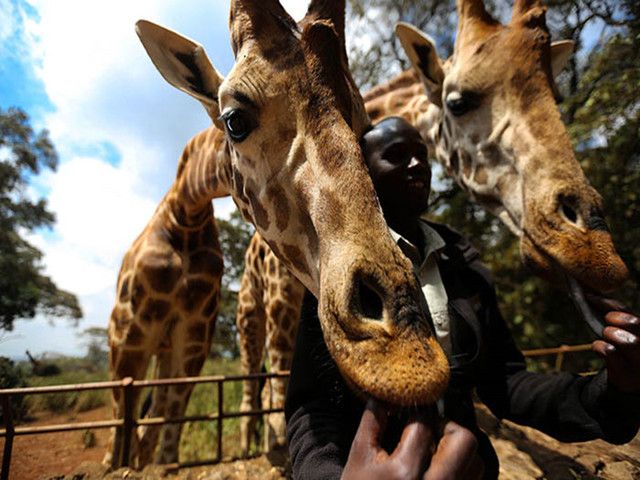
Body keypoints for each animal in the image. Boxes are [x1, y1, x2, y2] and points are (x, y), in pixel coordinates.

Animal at [105, 0, 450, 466]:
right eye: (234, 120)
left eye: (363, 126)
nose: (407, 359)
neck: (185, 213)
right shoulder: (137, 334)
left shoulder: (196, 335)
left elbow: (172, 411)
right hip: (201, 326)